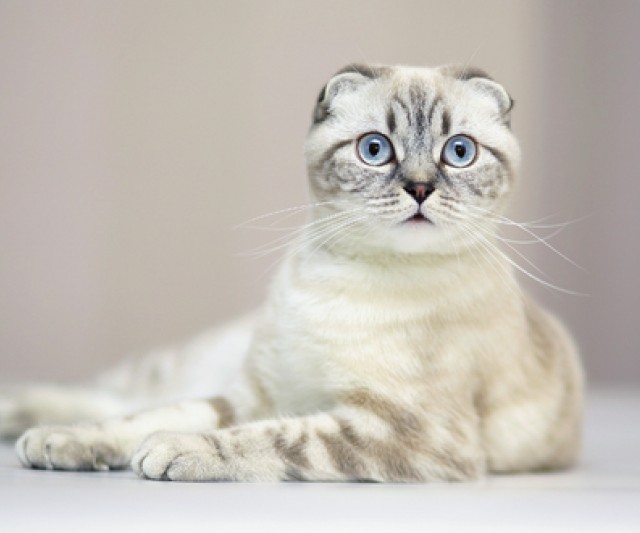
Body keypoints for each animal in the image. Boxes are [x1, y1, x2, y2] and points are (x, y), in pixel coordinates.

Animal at [0, 64, 584, 480]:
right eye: (375, 149)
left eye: (459, 152)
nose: (420, 188)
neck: (343, 279)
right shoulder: (255, 396)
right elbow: (150, 419)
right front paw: (78, 441)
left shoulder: (402, 430)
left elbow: (270, 438)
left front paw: (173, 450)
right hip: (187, 366)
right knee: (118, 395)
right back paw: (34, 424)